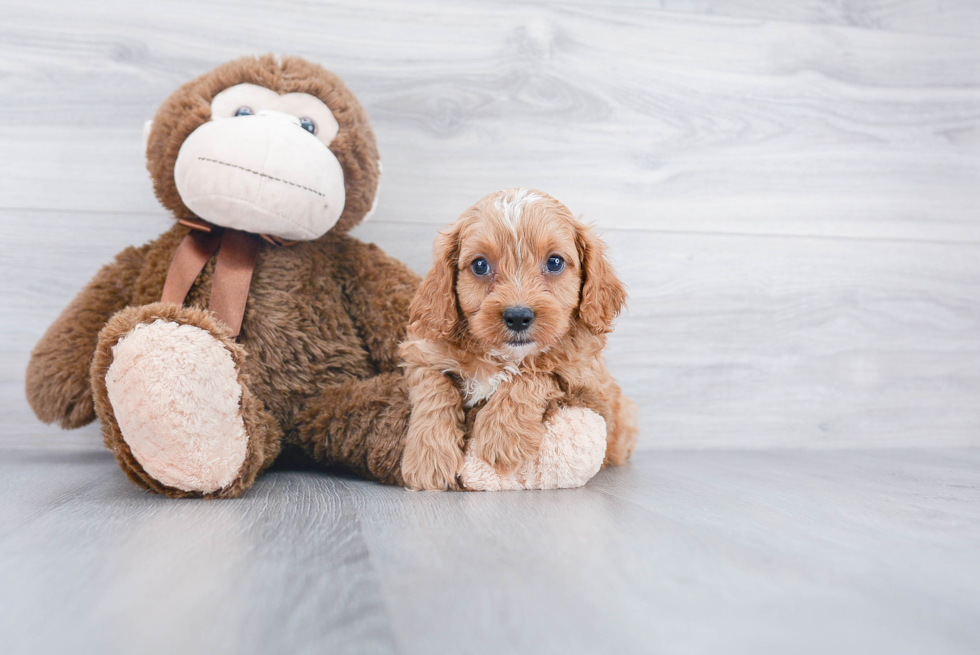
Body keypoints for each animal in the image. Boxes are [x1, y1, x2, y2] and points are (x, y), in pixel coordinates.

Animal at [398, 187, 636, 490]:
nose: (518, 316)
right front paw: (427, 458)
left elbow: (537, 373)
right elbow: (434, 390)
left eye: (555, 262)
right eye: (479, 265)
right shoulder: (422, 351)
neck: (502, 356)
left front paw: (502, 434)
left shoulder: (589, 385)